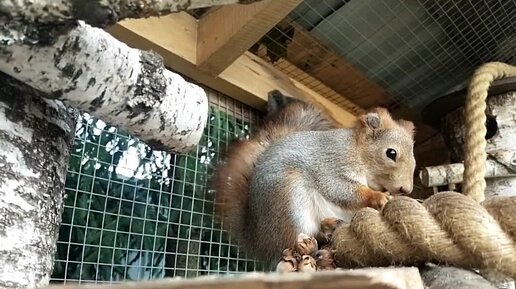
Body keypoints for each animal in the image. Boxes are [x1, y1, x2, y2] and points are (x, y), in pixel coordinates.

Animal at [211, 89, 416, 266]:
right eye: (391, 153)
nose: (406, 189)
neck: (358, 151)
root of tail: (259, 238)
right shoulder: (331, 164)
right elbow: (340, 189)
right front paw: (378, 197)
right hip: (291, 202)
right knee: (295, 241)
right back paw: (323, 233)